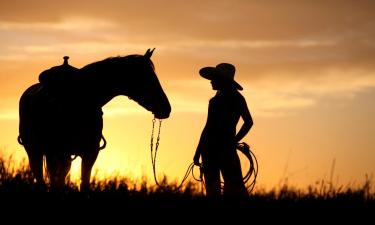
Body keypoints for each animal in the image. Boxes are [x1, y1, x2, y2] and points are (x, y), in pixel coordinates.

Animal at [16, 49, 171, 192]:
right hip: (36, 151)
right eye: (146, 78)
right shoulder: (55, 152)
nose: (166, 108)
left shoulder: (89, 154)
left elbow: (84, 185)